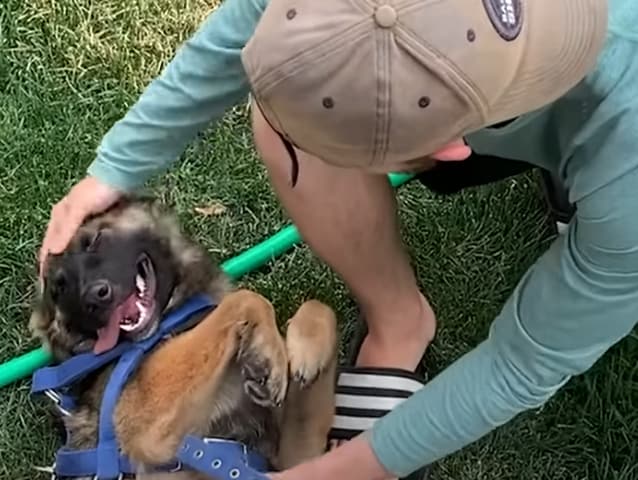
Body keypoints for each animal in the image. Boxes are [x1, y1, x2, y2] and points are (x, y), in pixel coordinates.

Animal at [30, 196, 340, 480]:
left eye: (94, 240)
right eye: (59, 288)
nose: (94, 297)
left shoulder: (292, 461)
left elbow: (319, 306)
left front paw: (305, 351)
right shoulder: (146, 427)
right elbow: (244, 299)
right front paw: (268, 351)